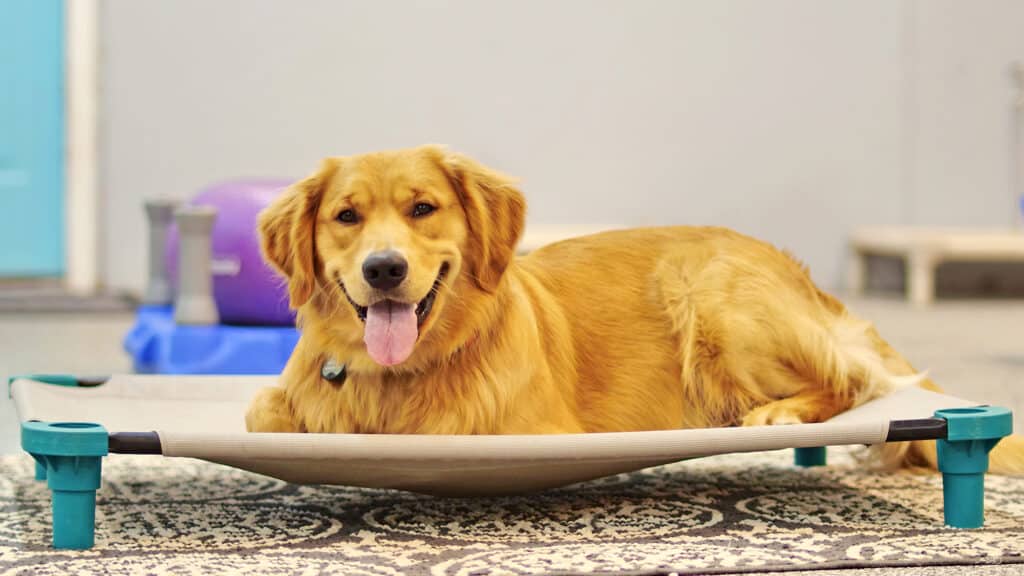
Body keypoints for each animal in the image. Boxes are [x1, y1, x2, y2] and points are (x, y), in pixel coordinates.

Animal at [249, 144, 1024, 475]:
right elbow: (264, 412)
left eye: (422, 209)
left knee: (853, 382)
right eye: (347, 216)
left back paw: (780, 414)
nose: (383, 269)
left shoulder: (529, 432)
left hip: (707, 290)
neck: (396, 379)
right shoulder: (285, 401)